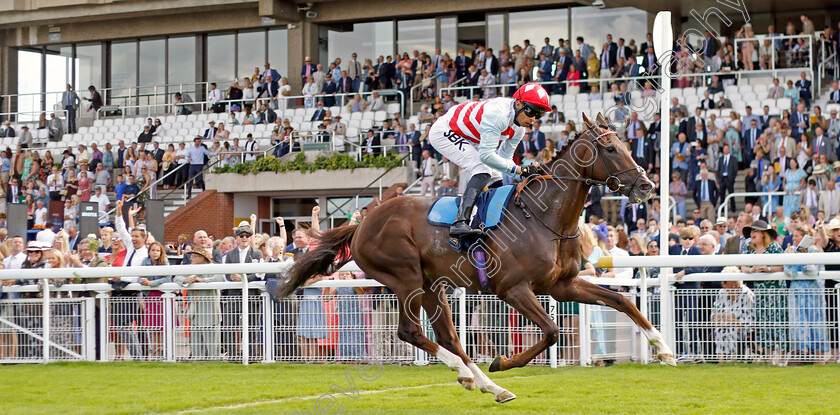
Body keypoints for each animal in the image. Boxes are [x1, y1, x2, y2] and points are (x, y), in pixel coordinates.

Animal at [276, 113, 676, 404]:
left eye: (626, 144)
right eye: (609, 148)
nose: (647, 186)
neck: (543, 215)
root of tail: (361, 223)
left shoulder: (563, 286)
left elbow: (623, 301)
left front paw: (664, 349)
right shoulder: (512, 289)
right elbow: (550, 331)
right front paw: (502, 362)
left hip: (431, 284)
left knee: (448, 337)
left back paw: (485, 384)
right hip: (404, 278)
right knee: (411, 332)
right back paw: (477, 375)